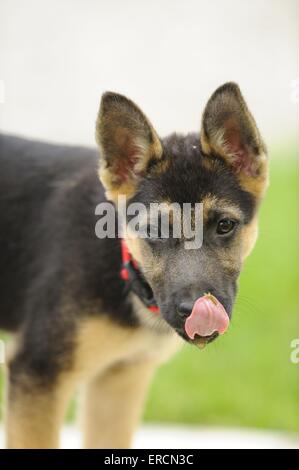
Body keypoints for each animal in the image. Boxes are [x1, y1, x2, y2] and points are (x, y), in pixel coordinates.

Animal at [0, 81, 268, 448]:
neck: (123, 266)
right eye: (154, 230)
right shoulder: (37, 372)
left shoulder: (120, 379)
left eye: (224, 226)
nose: (195, 311)